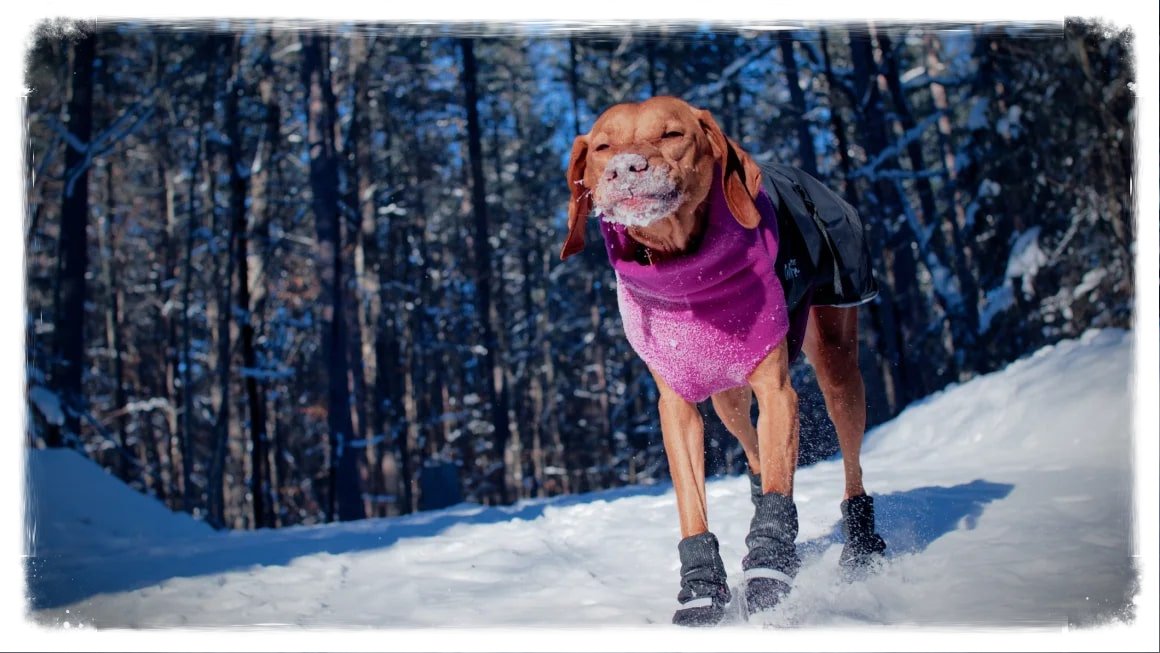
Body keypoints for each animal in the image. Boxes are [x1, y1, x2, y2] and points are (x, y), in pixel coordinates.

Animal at [563, 95, 886, 621]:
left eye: (672, 134)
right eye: (602, 147)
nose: (625, 168)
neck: (685, 273)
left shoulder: (777, 392)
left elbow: (778, 488)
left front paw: (768, 573)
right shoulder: (676, 407)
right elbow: (693, 505)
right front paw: (700, 591)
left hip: (837, 359)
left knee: (848, 455)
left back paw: (861, 545)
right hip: (726, 395)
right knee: (750, 445)